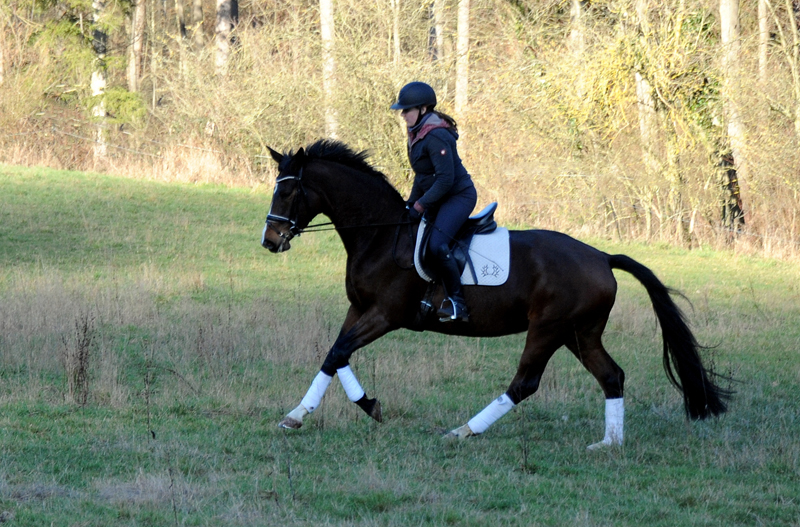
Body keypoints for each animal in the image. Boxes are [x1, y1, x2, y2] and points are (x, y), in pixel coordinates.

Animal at [264, 140, 732, 450]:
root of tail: (601, 256)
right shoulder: (359, 309)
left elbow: (339, 351)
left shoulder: (385, 315)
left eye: (287, 191)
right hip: (579, 333)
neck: (380, 235)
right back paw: (609, 444)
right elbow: (335, 354)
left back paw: (464, 430)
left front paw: (349, 409)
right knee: (611, 376)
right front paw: (317, 413)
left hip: (548, 329)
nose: (270, 241)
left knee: (525, 382)